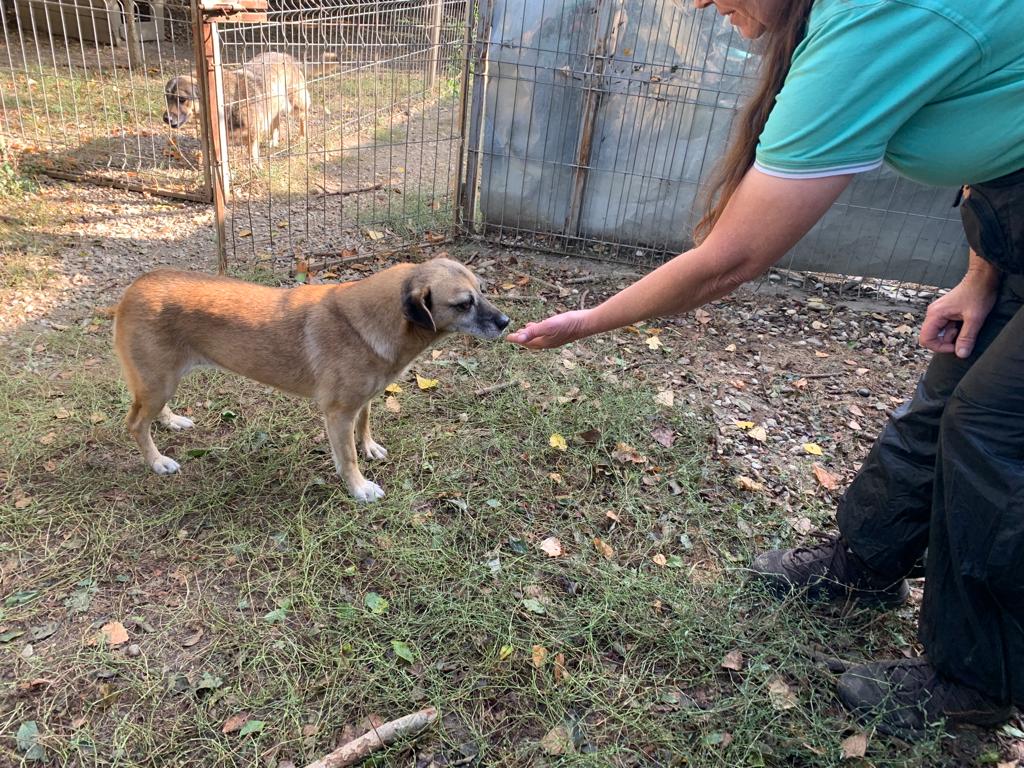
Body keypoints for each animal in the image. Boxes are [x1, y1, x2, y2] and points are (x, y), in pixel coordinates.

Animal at [111, 259, 509, 502]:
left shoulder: (361, 401)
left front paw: (369, 446)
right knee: (136, 423)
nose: (506, 322)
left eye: (482, 289)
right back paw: (157, 461)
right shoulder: (338, 413)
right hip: (158, 382)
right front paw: (359, 488)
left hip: (160, 382)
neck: (377, 320)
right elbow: (347, 457)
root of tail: (134, 287)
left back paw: (171, 421)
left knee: (150, 413)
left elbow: (365, 425)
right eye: (463, 303)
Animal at [163, 52, 310, 164]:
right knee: (276, 121)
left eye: (182, 99)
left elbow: (252, 152)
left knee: (303, 117)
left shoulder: (254, 131)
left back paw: (302, 138)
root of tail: (286, 55)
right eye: (166, 97)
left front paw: (255, 167)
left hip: (295, 105)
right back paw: (274, 141)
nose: (166, 119)